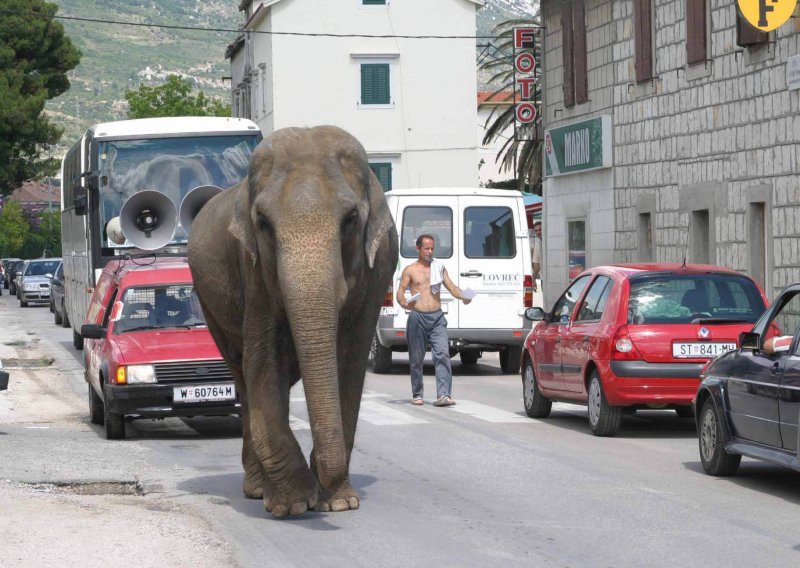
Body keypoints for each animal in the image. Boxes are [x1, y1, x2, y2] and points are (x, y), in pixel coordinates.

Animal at [188, 126, 400, 516]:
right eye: (263, 222)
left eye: (350, 219)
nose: (322, 491)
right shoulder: (253, 270)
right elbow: (263, 360)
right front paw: (295, 505)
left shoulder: (378, 271)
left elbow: (350, 362)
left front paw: (339, 503)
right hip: (209, 304)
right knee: (243, 373)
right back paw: (258, 489)